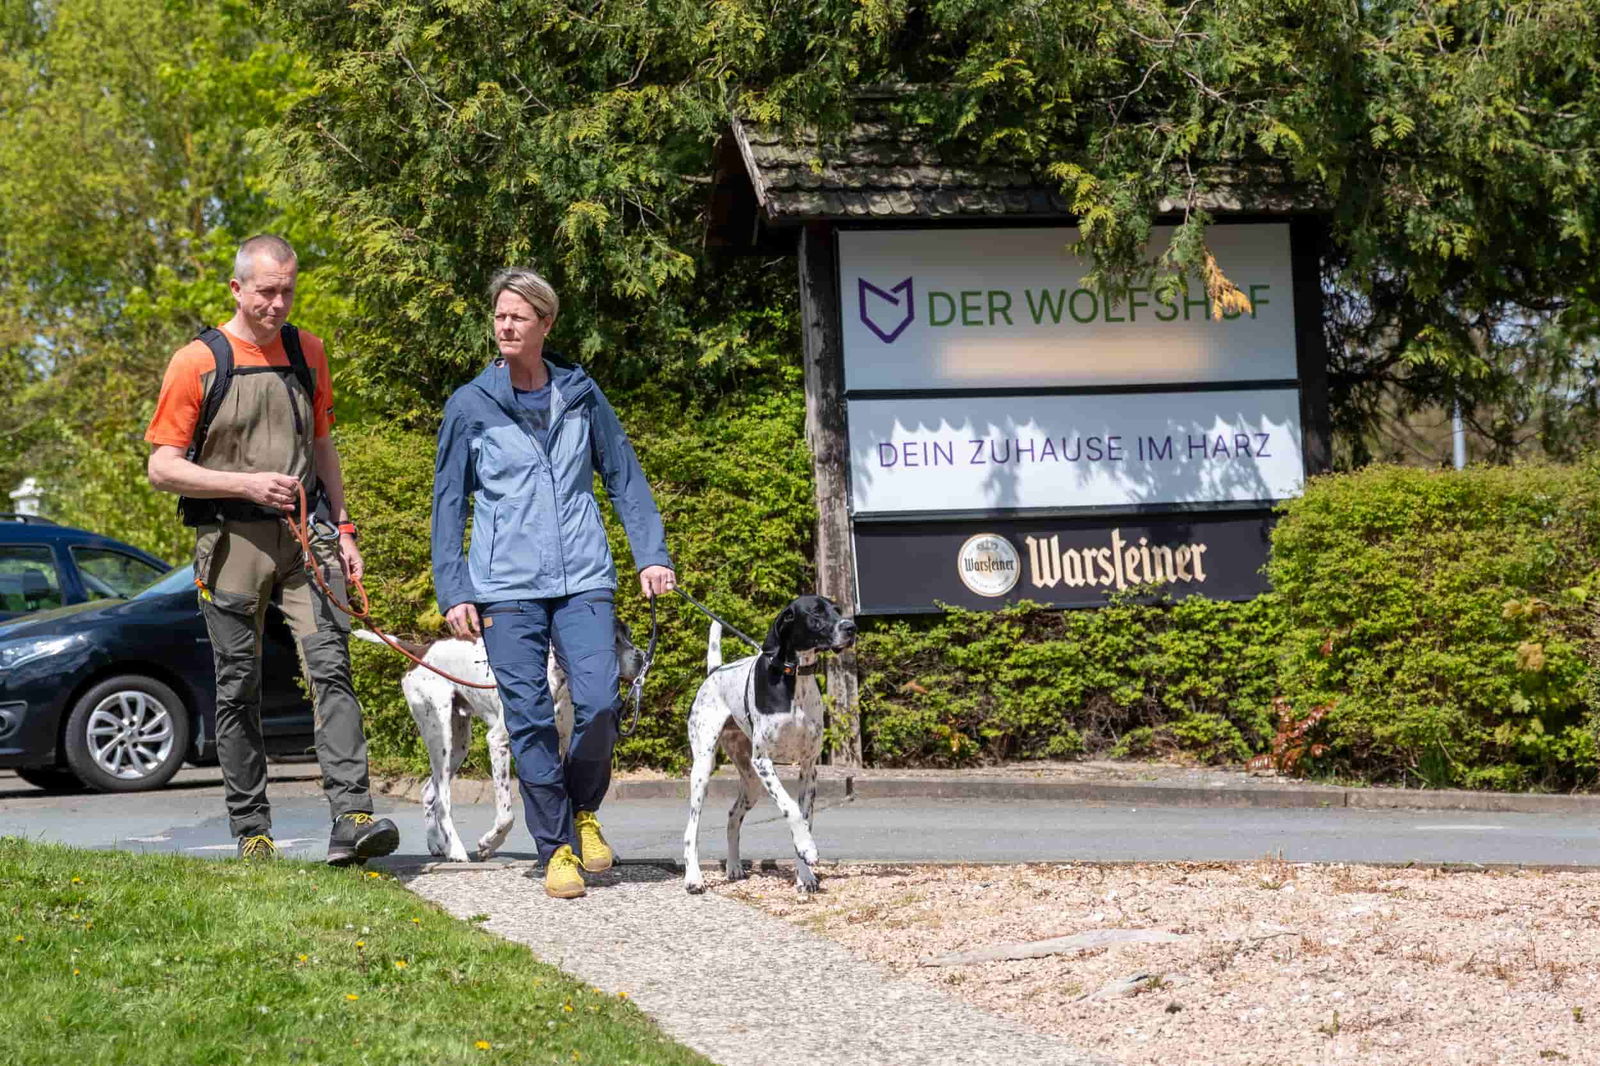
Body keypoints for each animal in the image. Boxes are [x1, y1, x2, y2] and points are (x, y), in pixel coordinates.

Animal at [356, 624, 643, 864]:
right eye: (614, 640)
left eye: (628, 635)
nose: (641, 658)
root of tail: (422, 650)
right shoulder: (499, 741)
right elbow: (507, 814)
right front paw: (489, 844)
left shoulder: (560, 747)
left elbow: (568, 800)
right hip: (441, 735)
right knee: (442, 798)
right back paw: (456, 850)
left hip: (459, 742)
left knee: (429, 790)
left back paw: (439, 845)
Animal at [688, 592, 864, 889]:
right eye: (816, 612)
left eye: (838, 610)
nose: (850, 628)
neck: (793, 679)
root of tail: (715, 672)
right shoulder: (764, 761)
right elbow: (790, 808)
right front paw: (808, 847)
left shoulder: (808, 768)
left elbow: (805, 817)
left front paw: (805, 873)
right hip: (703, 769)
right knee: (691, 828)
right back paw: (693, 878)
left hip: (751, 782)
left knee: (732, 817)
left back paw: (733, 867)